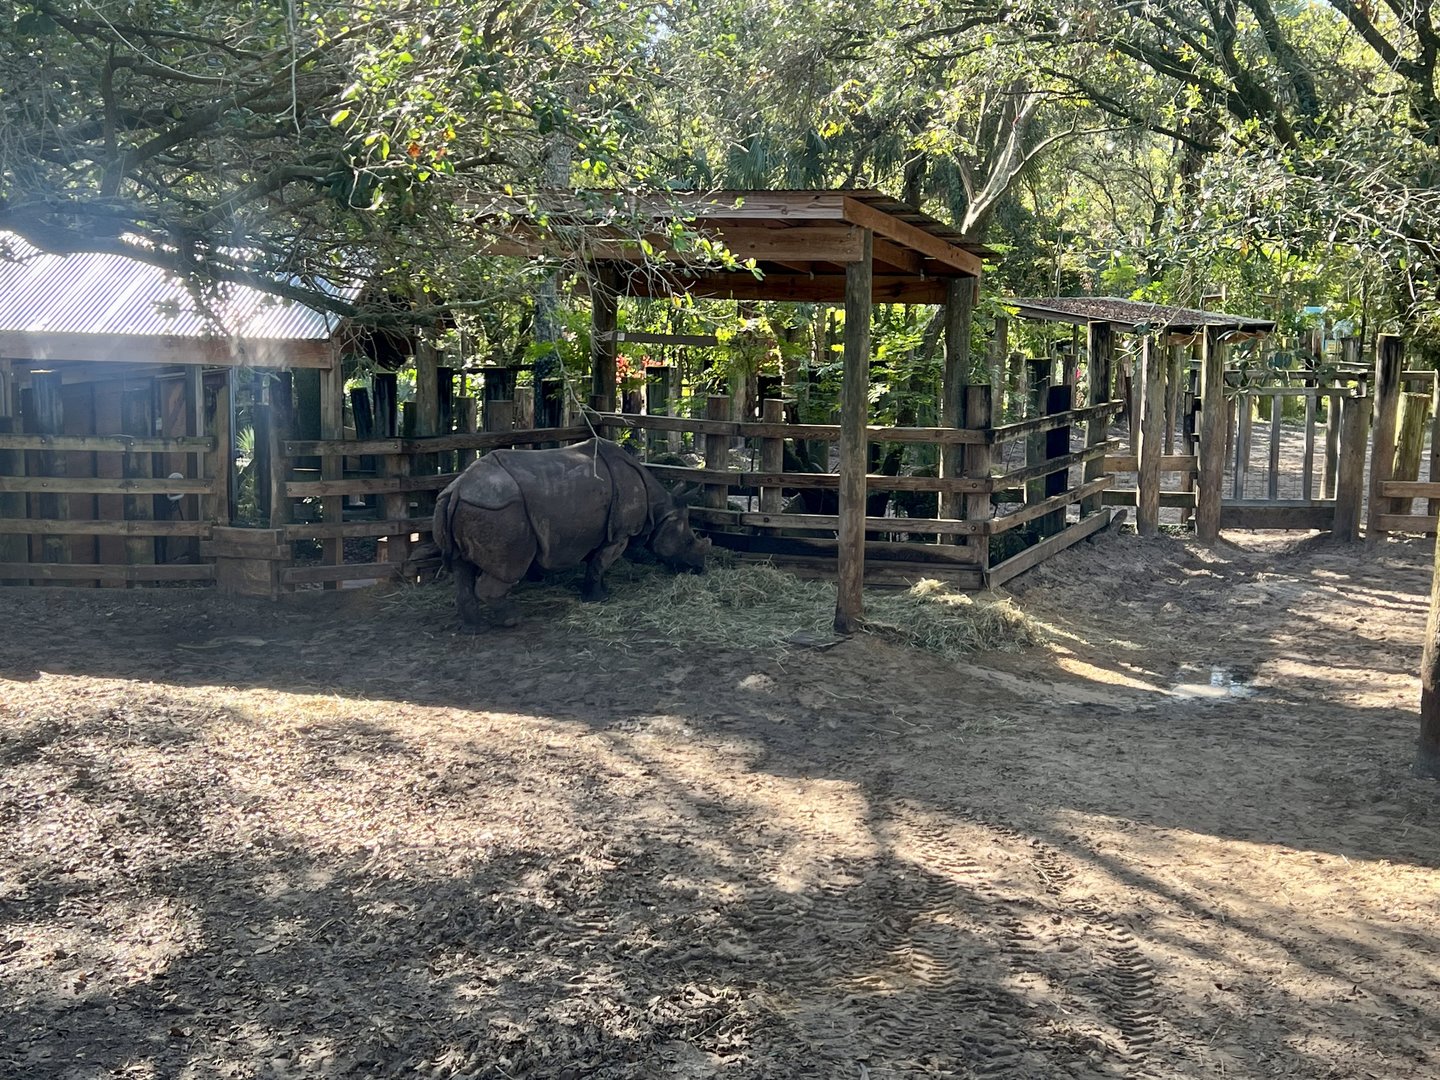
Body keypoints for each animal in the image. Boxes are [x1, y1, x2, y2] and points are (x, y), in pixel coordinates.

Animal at [432, 438, 710, 629]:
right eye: (689, 540)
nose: (700, 568)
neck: (661, 509)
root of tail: (457, 489)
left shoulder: (595, 532)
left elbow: (596, 563)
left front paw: (602, 591)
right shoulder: (619, 535)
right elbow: (600, 563)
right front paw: (599, 598)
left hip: (468, 504)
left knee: (461, 567)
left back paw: (474, 628)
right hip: (501, 511)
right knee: (508, 568)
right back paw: (513, 620)